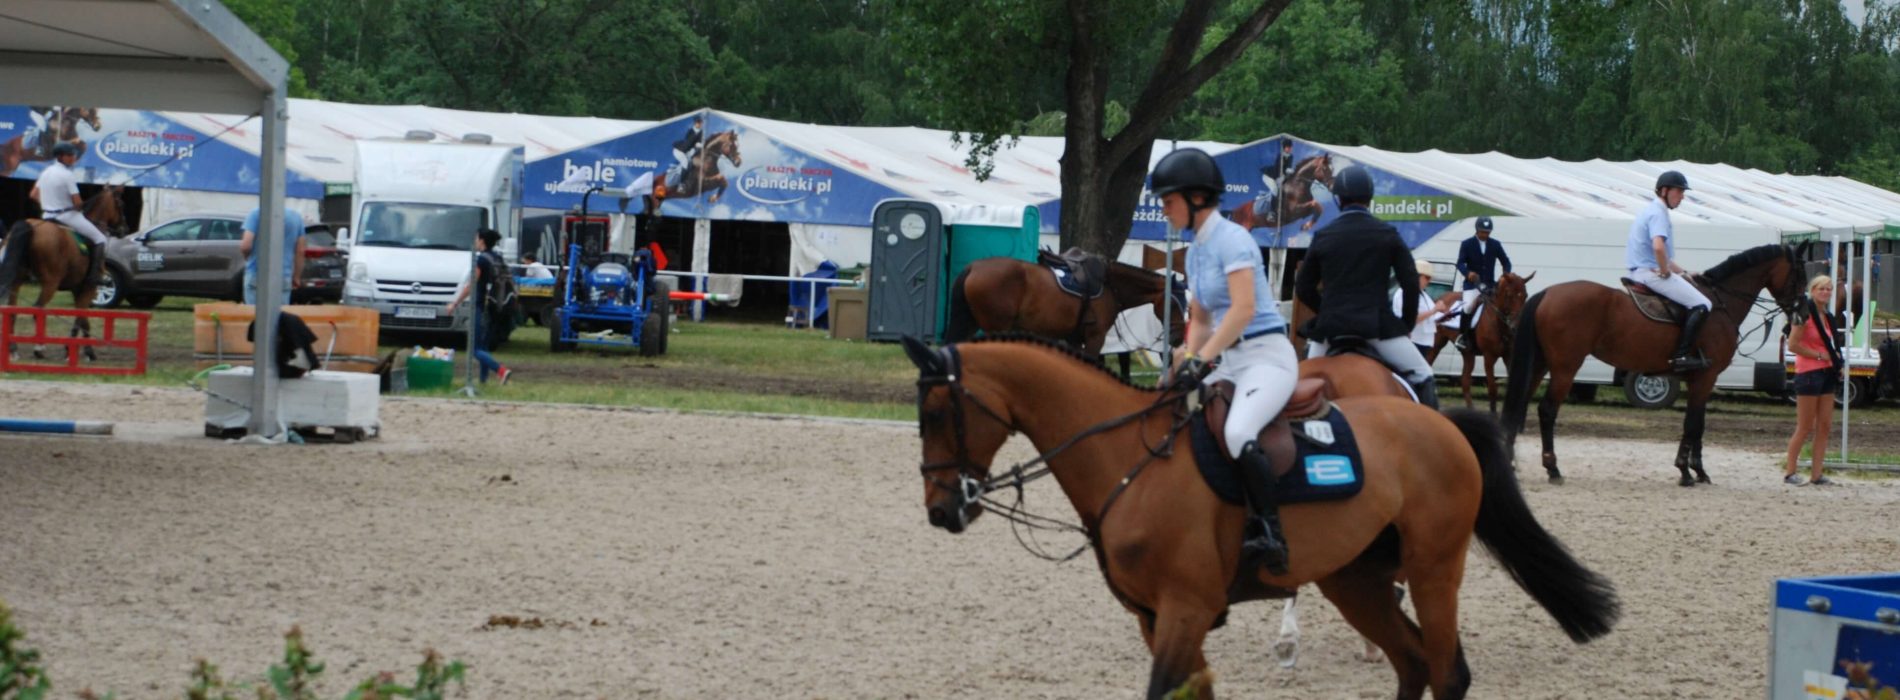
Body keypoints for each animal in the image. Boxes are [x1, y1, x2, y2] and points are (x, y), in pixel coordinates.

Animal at [904, 334, 1618, 700]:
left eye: (936, 413)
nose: (941, 510)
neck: (1129, 460)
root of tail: (1441, 425)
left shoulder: (1187, 608)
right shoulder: (1155, 618)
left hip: (1433, 570)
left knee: (1446, 673)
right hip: (1356, 582)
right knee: (1412, 664)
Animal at [946, 254, 1185, 357]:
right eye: (1174, 304)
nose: (1179, 337)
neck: (1110, 285)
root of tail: (973, 267)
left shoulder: (1074, 338)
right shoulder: (1095, 337)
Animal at [1504, 245, 1801, 486]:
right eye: (1799, 275)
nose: (1799, 316)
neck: (1720, 305)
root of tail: (1547, 293)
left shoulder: (1702, 379)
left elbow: (1700, 424)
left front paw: (1700, 472)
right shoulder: (1706, 377)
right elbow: (1692, 424)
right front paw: (1685, 473)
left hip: (1540, 364)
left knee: (1520, 403)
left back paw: (1510, 463)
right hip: (1566, 366)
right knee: (1547, 410)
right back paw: (1553, 469)